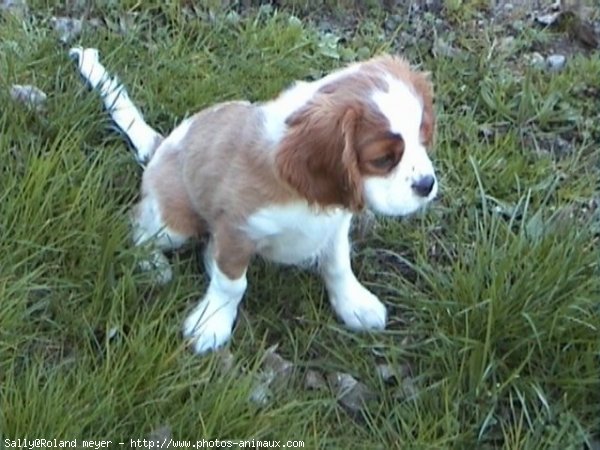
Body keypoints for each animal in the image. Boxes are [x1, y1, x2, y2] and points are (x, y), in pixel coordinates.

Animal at [70, 46, 438, 356]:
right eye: (383, 159)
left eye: (423, 138)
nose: (428, 184)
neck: (303, 197)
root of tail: (161, 145)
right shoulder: (237, 231)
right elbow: (232, 284)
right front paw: (211, 323)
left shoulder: (335, 225)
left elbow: (337, 265)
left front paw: (354, 304)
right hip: (173, 221)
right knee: (139, 226)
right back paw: (153, 264)